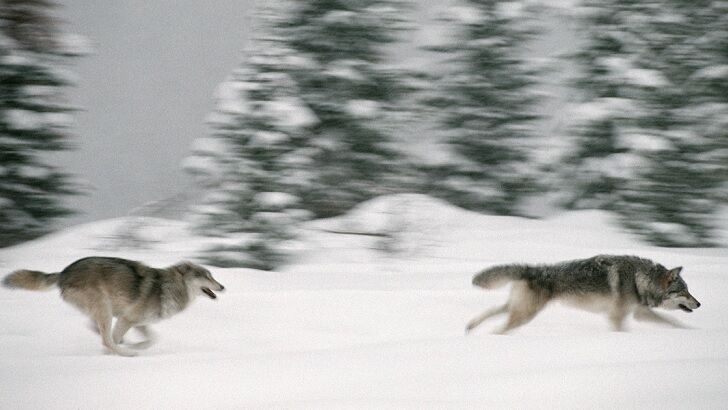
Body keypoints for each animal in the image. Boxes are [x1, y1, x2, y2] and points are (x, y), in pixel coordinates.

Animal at [2, 258, 225, 358]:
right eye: (206, 276)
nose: (223, 287)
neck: (168, 287)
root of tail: (64, 271)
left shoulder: (139, 322)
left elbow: (152, 339)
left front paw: (136, 346)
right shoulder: (127, 319)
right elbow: (115, 340)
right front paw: (120, 353)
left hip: (102, 311)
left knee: (97, 329)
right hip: (105, 308)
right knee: (105, 338)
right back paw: (126, 354)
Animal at [466, 255, 700, 334]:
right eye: (684, 291)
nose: (699, 304)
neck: (638, 279)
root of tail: (531, 269)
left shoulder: (639, 313)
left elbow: (672, 322)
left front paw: (690, 332)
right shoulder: (618, 317)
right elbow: (621, 331)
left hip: (517, 308)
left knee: (491, 313)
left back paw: (470, 327)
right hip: (525, 314)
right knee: (500, 328)